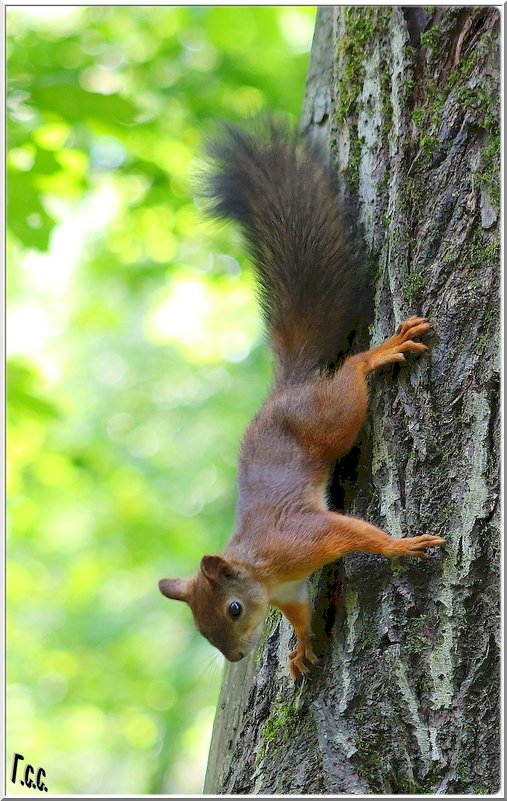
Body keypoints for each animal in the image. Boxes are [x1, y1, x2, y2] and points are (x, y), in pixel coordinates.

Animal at [159, 119, 444, 680]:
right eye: (202, 629)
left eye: (232, 608)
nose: (237, 655)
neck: (264, 572)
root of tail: (286, 392)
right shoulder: (291, 591)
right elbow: (300, 615)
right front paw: (299, 648)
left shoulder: (310, 535)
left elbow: (360, 534)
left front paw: (402, 545)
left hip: (330, 418)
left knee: (351, 374)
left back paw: (381, 353)